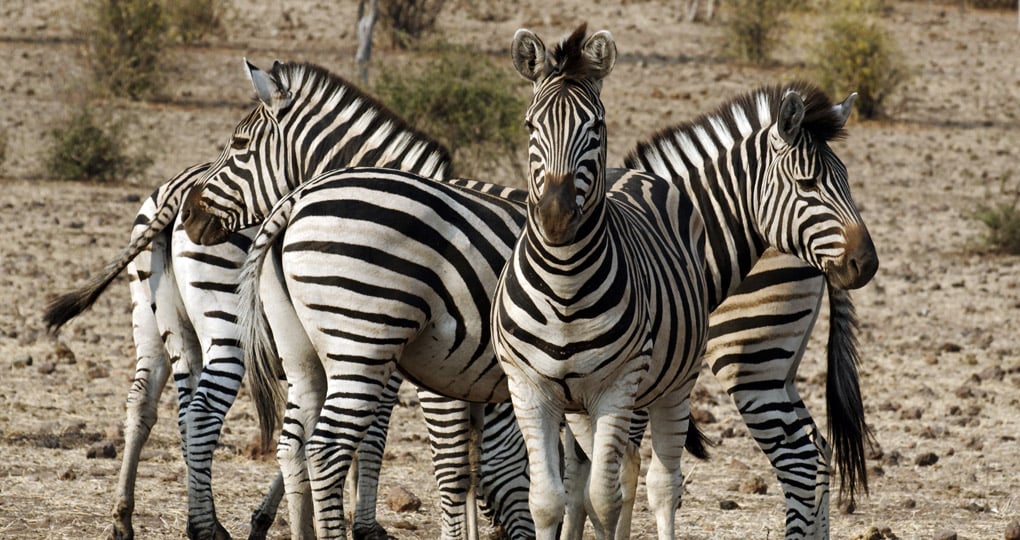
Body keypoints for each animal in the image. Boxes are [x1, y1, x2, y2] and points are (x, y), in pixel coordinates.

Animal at [42, 60, 525, 540]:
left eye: (238, 144)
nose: (195, 214)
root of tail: (176, 192)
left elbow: (303, 438)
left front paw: (273, 517)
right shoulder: (391, 349)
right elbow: (376, 439)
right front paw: (363, 525)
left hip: (152, 316)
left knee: (144, 403)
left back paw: (126, 517)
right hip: (229, 325)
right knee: (200, 415)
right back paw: (206, 527)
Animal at [180, 45, 879, 540]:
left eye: (237, 147)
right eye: (814, 184)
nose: (189, 215)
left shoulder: (481, 382)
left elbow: (504, 478)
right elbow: (518, 479)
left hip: (749, 359)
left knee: (803, 460)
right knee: (811, 454)